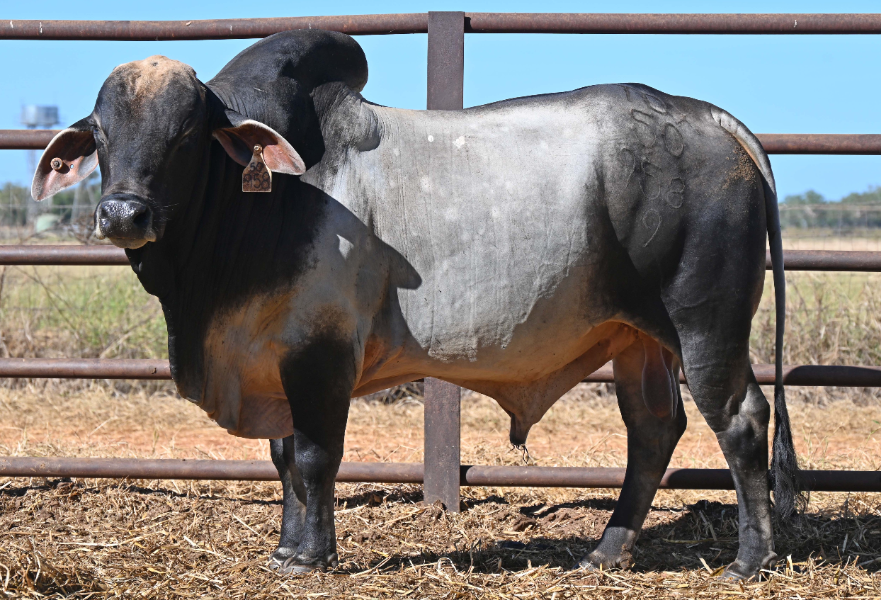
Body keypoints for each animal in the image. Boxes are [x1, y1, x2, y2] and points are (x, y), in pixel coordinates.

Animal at [32, 30, 800, 579]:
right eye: (100, 133)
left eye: (186, 136)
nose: (123, 213)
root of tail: (708, 118)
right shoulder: (277, 362)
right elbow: (283, 459)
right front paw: (285, 549)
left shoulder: (320, 355)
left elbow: (314, 456)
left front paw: (312, 558)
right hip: (636, 338)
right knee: (652, 431)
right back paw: (604, 553)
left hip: (704, 323)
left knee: (739, 419)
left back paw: (748, 561)